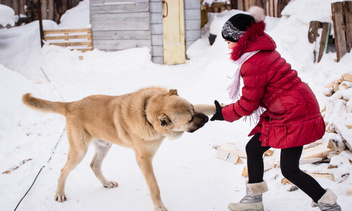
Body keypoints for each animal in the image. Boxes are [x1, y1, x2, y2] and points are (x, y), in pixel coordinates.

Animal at [22, 86, 212, 210]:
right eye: (189, 119)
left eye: (193, 108)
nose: (207, 120)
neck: (146, 112)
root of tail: (71, 105)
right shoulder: (144, 160)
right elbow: (154, 188)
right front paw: (159, 207)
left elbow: (208, 106)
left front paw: (217, 107)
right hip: (79, 151)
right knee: (63, 171)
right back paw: (60, 193)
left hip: (104, 146)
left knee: (94, 165)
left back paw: (106, 183)